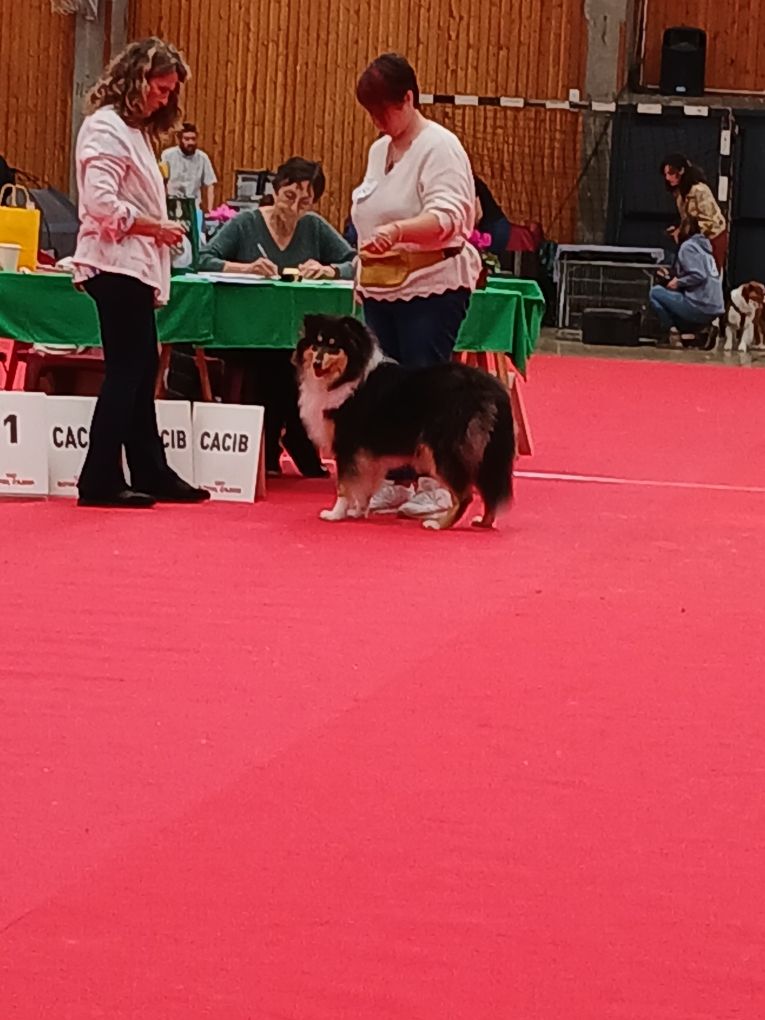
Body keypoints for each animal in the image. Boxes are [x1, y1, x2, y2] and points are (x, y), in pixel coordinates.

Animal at [293, 314, 516, 530]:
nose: (317, 363)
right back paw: (484, 522)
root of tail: (494, 387)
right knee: (489, 487)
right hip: (484, 451)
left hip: (445, 448)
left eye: (334, 345)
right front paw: (358, 512)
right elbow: (364, 485)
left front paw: (335, 514)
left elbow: (344, 486)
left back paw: (438, 524)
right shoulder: (365, 455)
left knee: (465, 495)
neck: (348, 376)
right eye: (316, 343)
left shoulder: (346, 445)